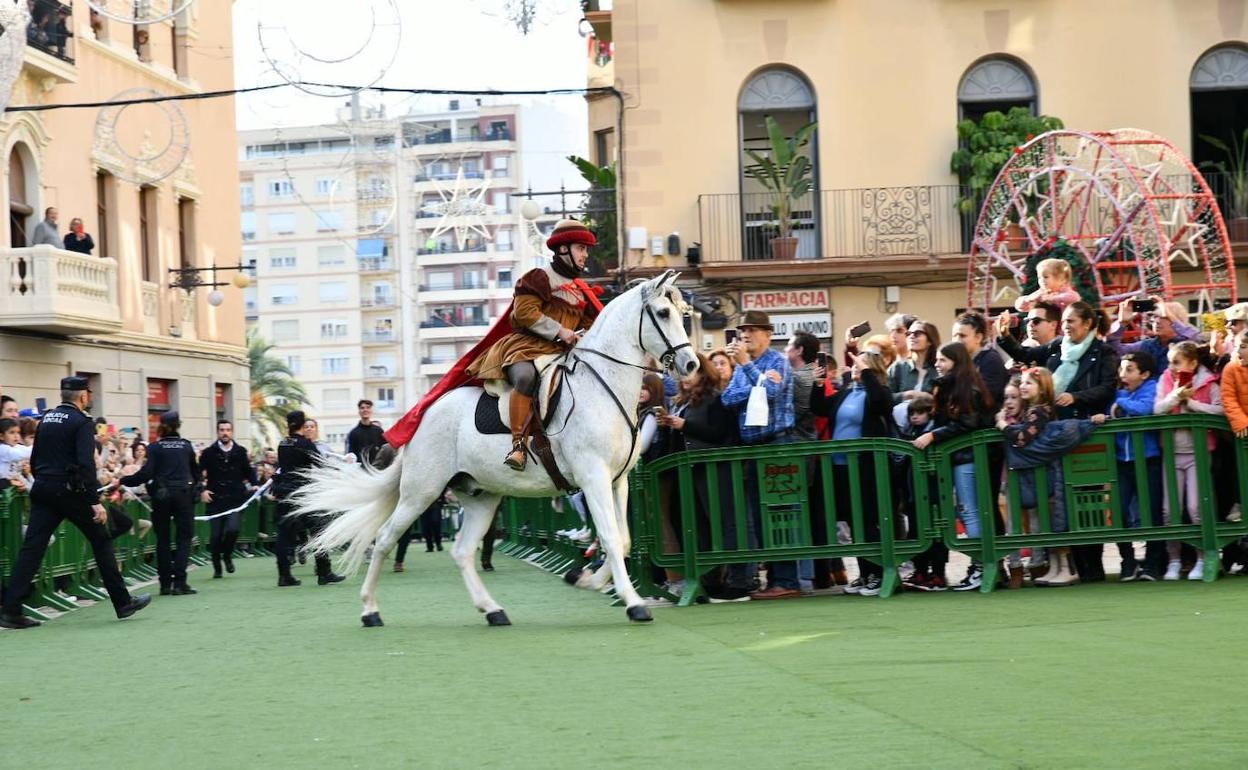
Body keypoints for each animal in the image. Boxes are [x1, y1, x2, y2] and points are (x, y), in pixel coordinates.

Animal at [294, 272, 703, 623]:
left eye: (685, 314)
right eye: (662, 313)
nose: (691, 364)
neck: (602, 385)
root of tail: (426, 415)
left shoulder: (617, 481)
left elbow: (623, 539)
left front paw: (588, 579)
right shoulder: (593, 477)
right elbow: (610, 537)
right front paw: (632, 602)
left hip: (481, 496)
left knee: (461, 551)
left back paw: (492, 610)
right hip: (420, 492)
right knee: (383, 540)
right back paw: (370, 610)